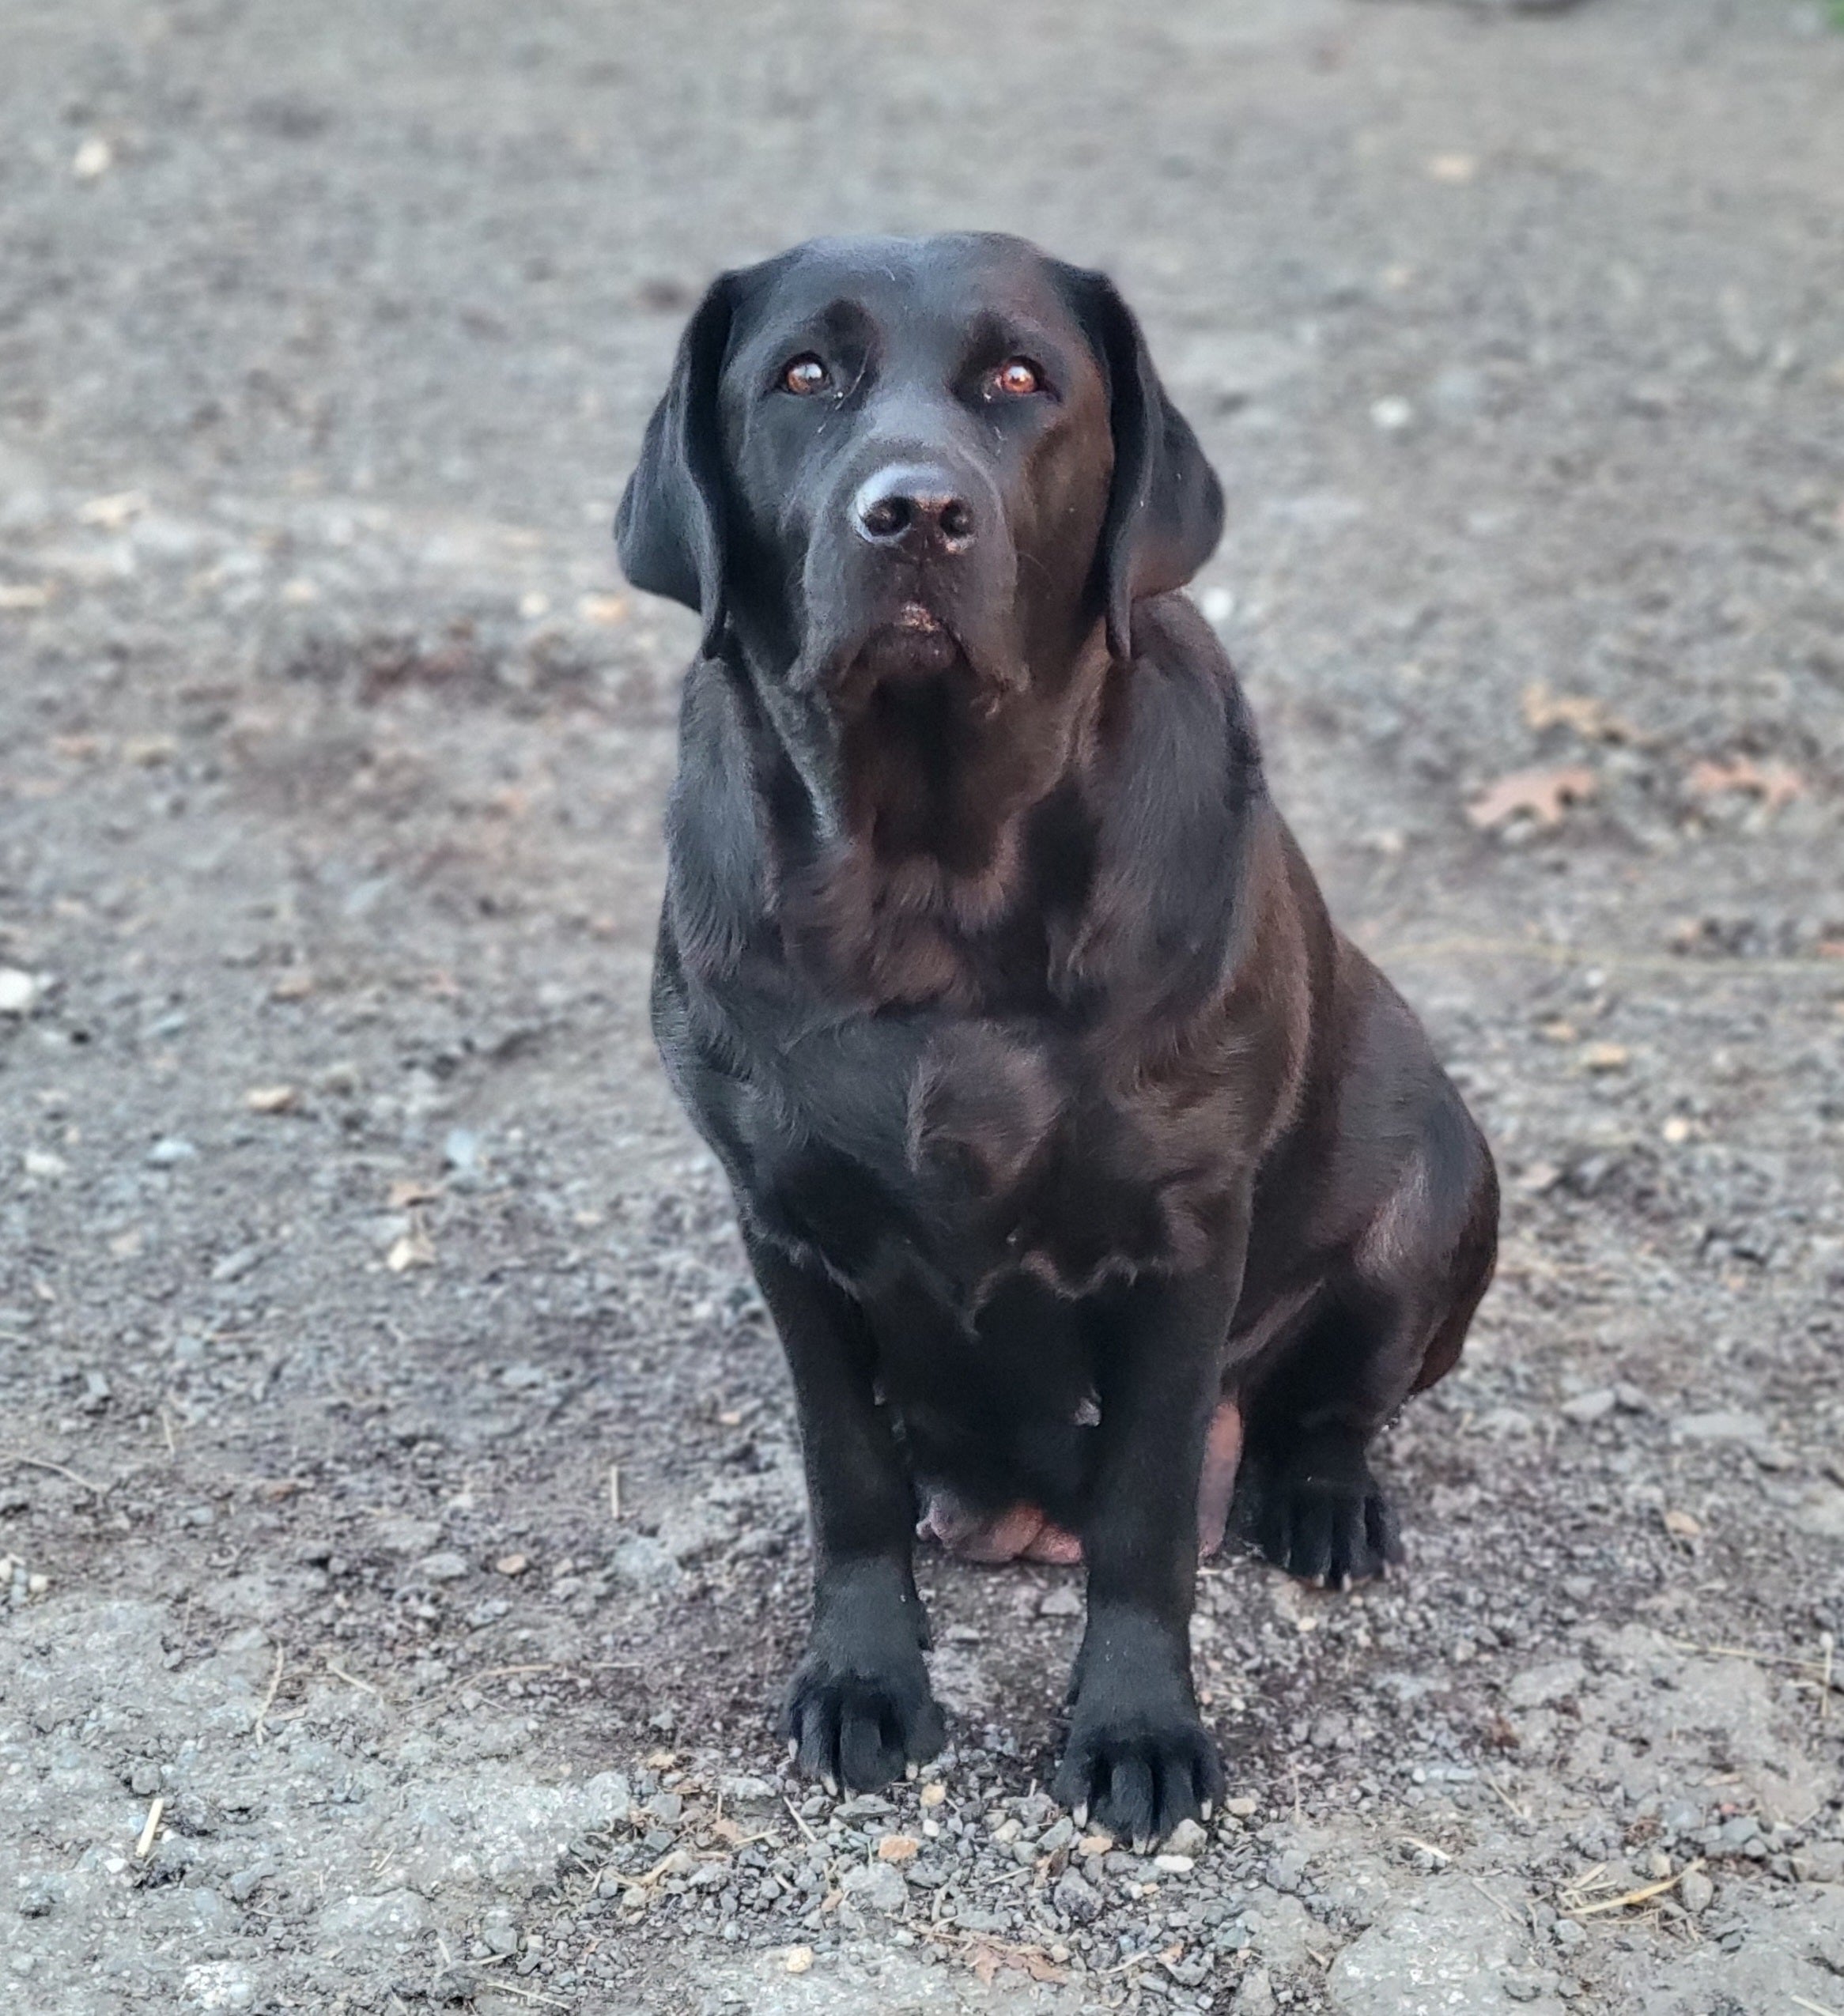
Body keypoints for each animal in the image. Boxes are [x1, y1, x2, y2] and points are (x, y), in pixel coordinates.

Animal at [620, 232, 1499, 1846]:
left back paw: (1321, 1500)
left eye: (1020, 380)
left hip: (1442, 1186)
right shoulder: (782, 1226)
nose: (914, 510)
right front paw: (862, 1682)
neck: (929, 895)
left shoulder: (1183, 1240)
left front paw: (1137, 1729)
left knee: (1342, 1398)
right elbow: (845, 1476)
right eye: (803, 374)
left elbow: (1147, 1513)